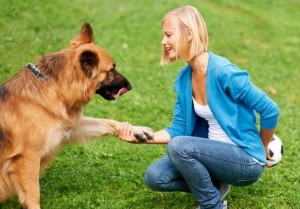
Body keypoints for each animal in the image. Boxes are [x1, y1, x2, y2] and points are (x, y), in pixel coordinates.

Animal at [0, 22, 154, 209]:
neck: (55, 87)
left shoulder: (68, 127)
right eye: (111, 69)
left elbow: (107, 122)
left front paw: (136, 130)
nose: (130, 86)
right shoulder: (27, 158)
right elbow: (33, 195)